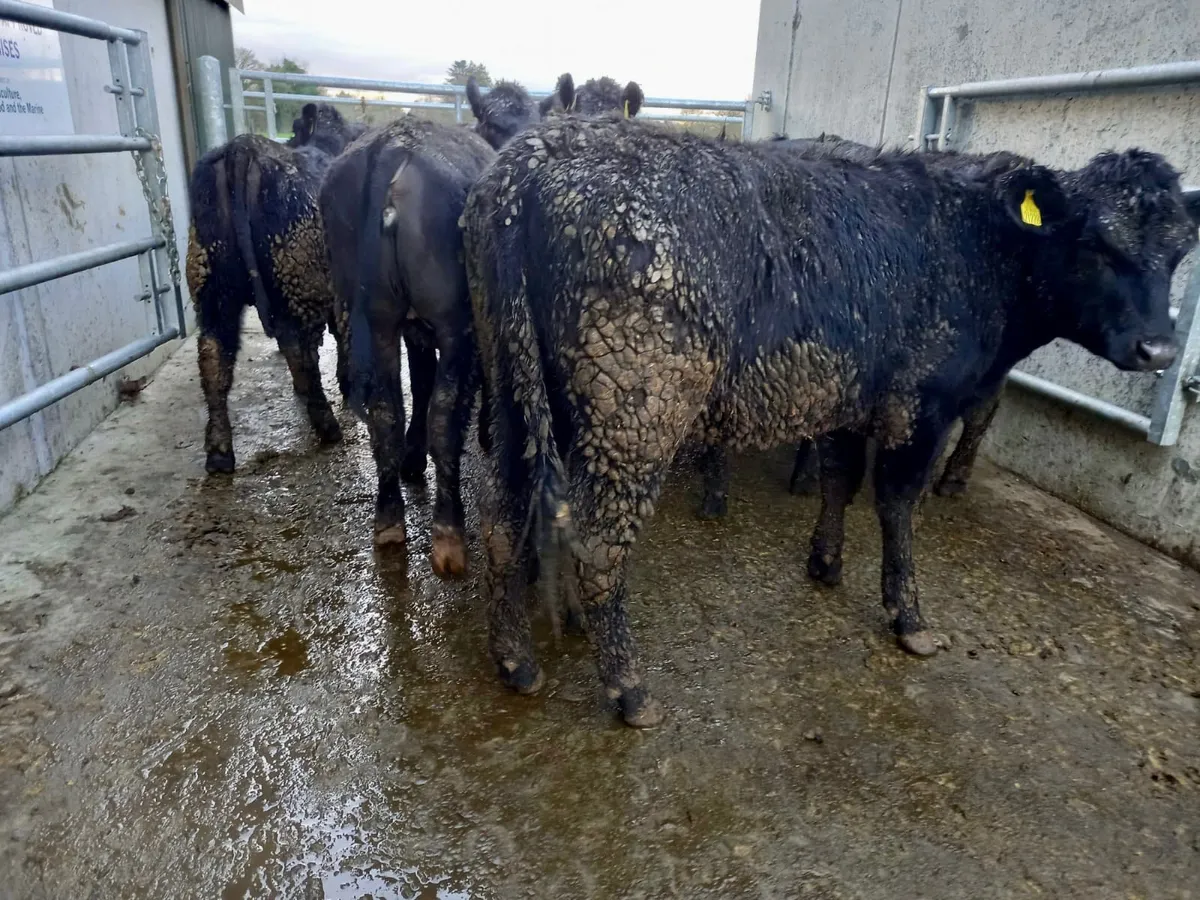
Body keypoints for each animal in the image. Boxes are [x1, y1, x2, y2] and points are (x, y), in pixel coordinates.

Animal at [184, 102, 362, 475]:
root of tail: (241, 147)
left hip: (213, 284)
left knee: (213, 353)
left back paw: (219, 451)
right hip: (294, 279)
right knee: (297, 348)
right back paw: (326, 425)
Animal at [460, 116, 1200, 729]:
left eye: (1179, 252)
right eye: (1097, 243)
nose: (1160, 349)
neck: (979, 245)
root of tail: (538, 152)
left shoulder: (849, 396)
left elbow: (839, 480)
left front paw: (825, 561)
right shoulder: (920, 404)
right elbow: (896, 503)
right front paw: (909, 616)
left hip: (520, 394)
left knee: (501, 520)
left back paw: (516, 662)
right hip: (636, 411)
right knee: (597, 543)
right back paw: (629, 689)